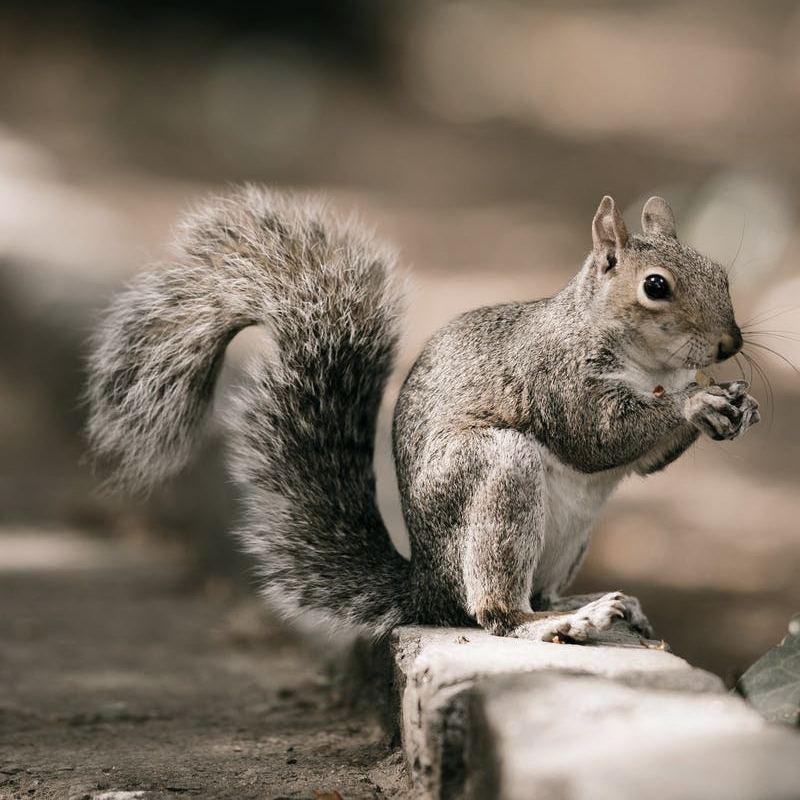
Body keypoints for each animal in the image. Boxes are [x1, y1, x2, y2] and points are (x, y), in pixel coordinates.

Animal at [84, 186, 760, 644]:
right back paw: (558, 621)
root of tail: (427, 589)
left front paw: (734, 403)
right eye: (656, 287)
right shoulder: (554, 378)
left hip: (567, 535)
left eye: (721, 273)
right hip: (497, 475)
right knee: (496, 614)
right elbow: (598, 435)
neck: (650, 368)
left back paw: (595, 604)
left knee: (539, 591)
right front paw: (696, 403)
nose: (729, 344)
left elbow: (641, 461)